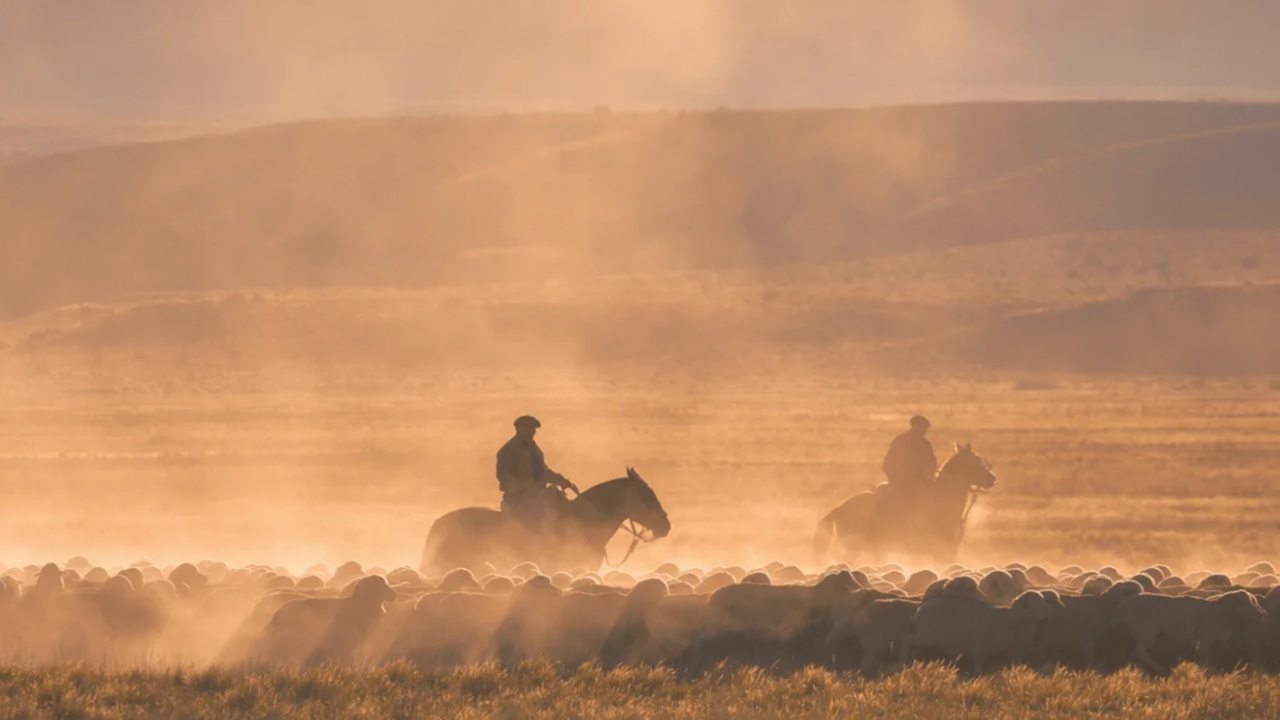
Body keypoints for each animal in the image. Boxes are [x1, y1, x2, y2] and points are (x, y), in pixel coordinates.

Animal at [808, 443, 998, 566]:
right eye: (975, 460)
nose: (992, 479)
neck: (943, 499)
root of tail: (841, 507)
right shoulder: (943, 551)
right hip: (853, 548)